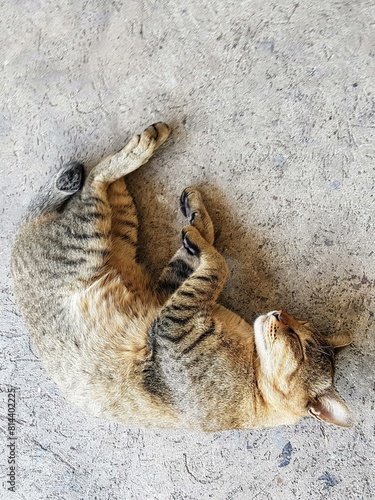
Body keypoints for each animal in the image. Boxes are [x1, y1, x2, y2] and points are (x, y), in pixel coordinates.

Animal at [10, 123, 354, 432]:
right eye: (296, 322)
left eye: (296, 341)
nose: (279, 313)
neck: (254, 372)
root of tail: (24, 236)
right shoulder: (168, 297)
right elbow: (206, 252)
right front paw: (199, 219)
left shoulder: (172, 322)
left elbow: (216, 265)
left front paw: (197, 233)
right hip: (114, 228)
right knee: (99, 183)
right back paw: (145, 145)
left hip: (90, 238)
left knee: (94, 185)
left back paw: (143, 144)